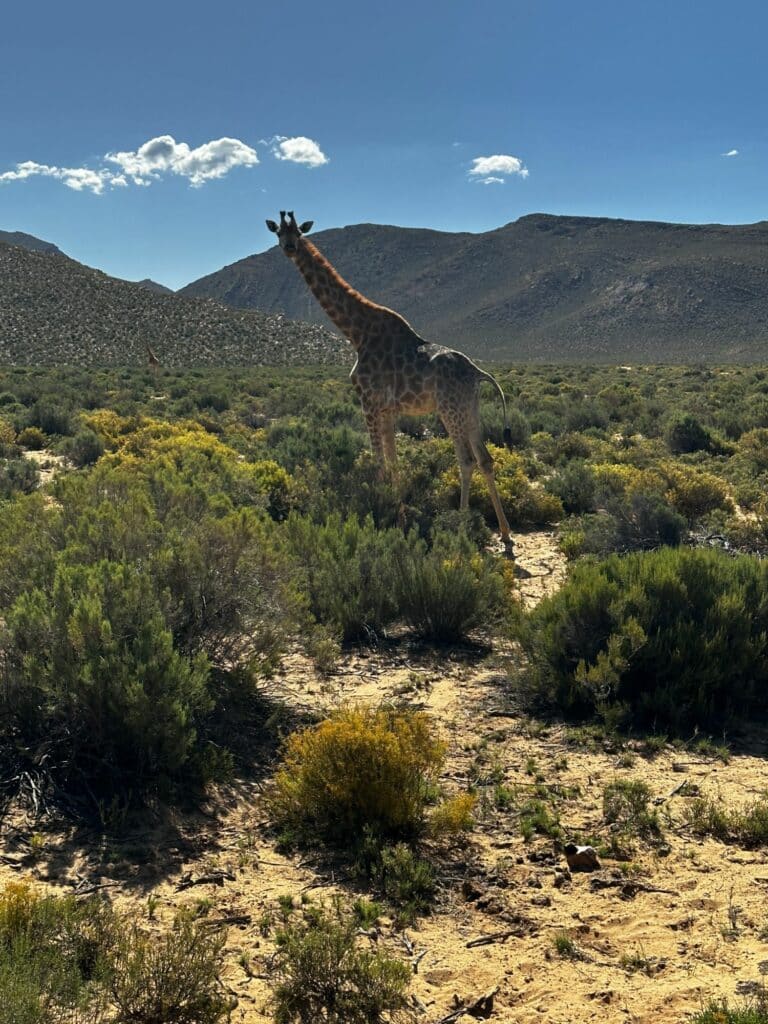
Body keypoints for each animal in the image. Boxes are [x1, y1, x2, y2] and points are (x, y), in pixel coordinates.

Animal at [268, 209, 514, 552]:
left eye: (298, 233)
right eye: (279, 232)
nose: (290, 248)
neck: (356, 333)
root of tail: (479, 372)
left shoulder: (369, 403)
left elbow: (378, 464)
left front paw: (381, 514)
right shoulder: (387, 410)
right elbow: (394, 464)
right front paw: (398, 516)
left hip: (449, 411)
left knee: (465, 460)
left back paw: (462, 528)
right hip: (471, 410)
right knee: (486, 459)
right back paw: (505, 533)